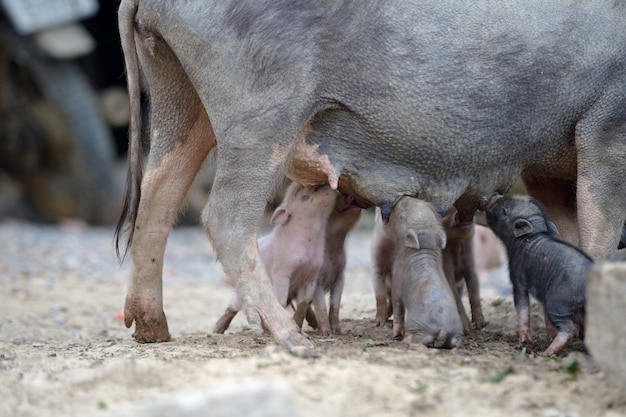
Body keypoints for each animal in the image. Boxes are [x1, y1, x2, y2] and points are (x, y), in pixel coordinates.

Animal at [114, 0, 624, 346]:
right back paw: (293, 341)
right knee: (223, 217)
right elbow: (598, 228)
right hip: (259, 111)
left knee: (157, 195)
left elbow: (570, 228)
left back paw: (153, 331)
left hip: (176, 90)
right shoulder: (606, 124)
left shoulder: (550, 164)